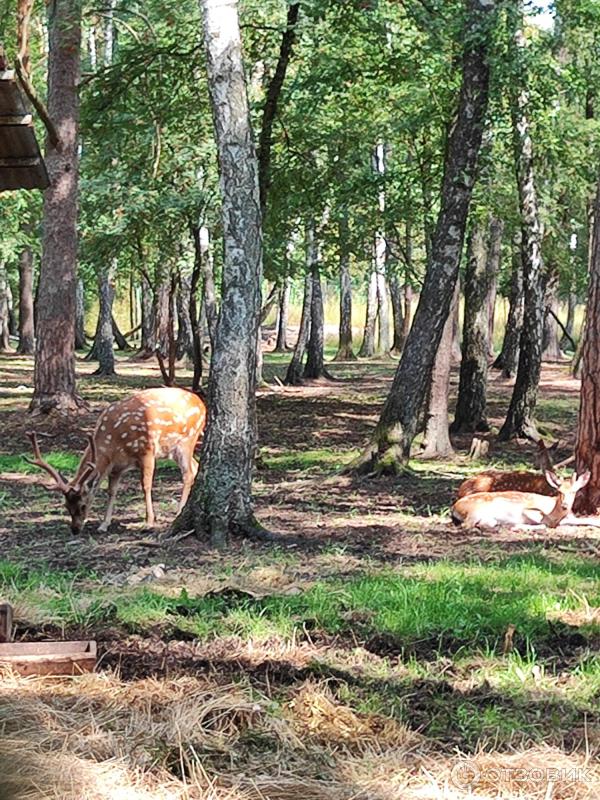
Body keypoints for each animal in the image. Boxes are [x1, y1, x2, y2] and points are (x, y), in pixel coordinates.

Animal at [27, 386, 207, 532]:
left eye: (83, 505)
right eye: (66, 505)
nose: (75, 529)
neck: (113, 443)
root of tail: (202, 404)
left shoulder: (147, 450)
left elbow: (146, 485)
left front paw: (149, 521)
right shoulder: (116, 466)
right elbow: (111, 491)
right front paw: (104, 524)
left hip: (187, 440)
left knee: (187, 473)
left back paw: (179, 511)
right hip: (174, 450)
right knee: (195, 466)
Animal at [450, 468, 592, 532]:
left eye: (574, 491)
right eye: (559, 491)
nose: (565, 505)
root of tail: (454, 507)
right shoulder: (529, 509)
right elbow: (545, 523)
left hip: (485, 516)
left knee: (485, 523)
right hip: (475, 510)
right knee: (466, 525)